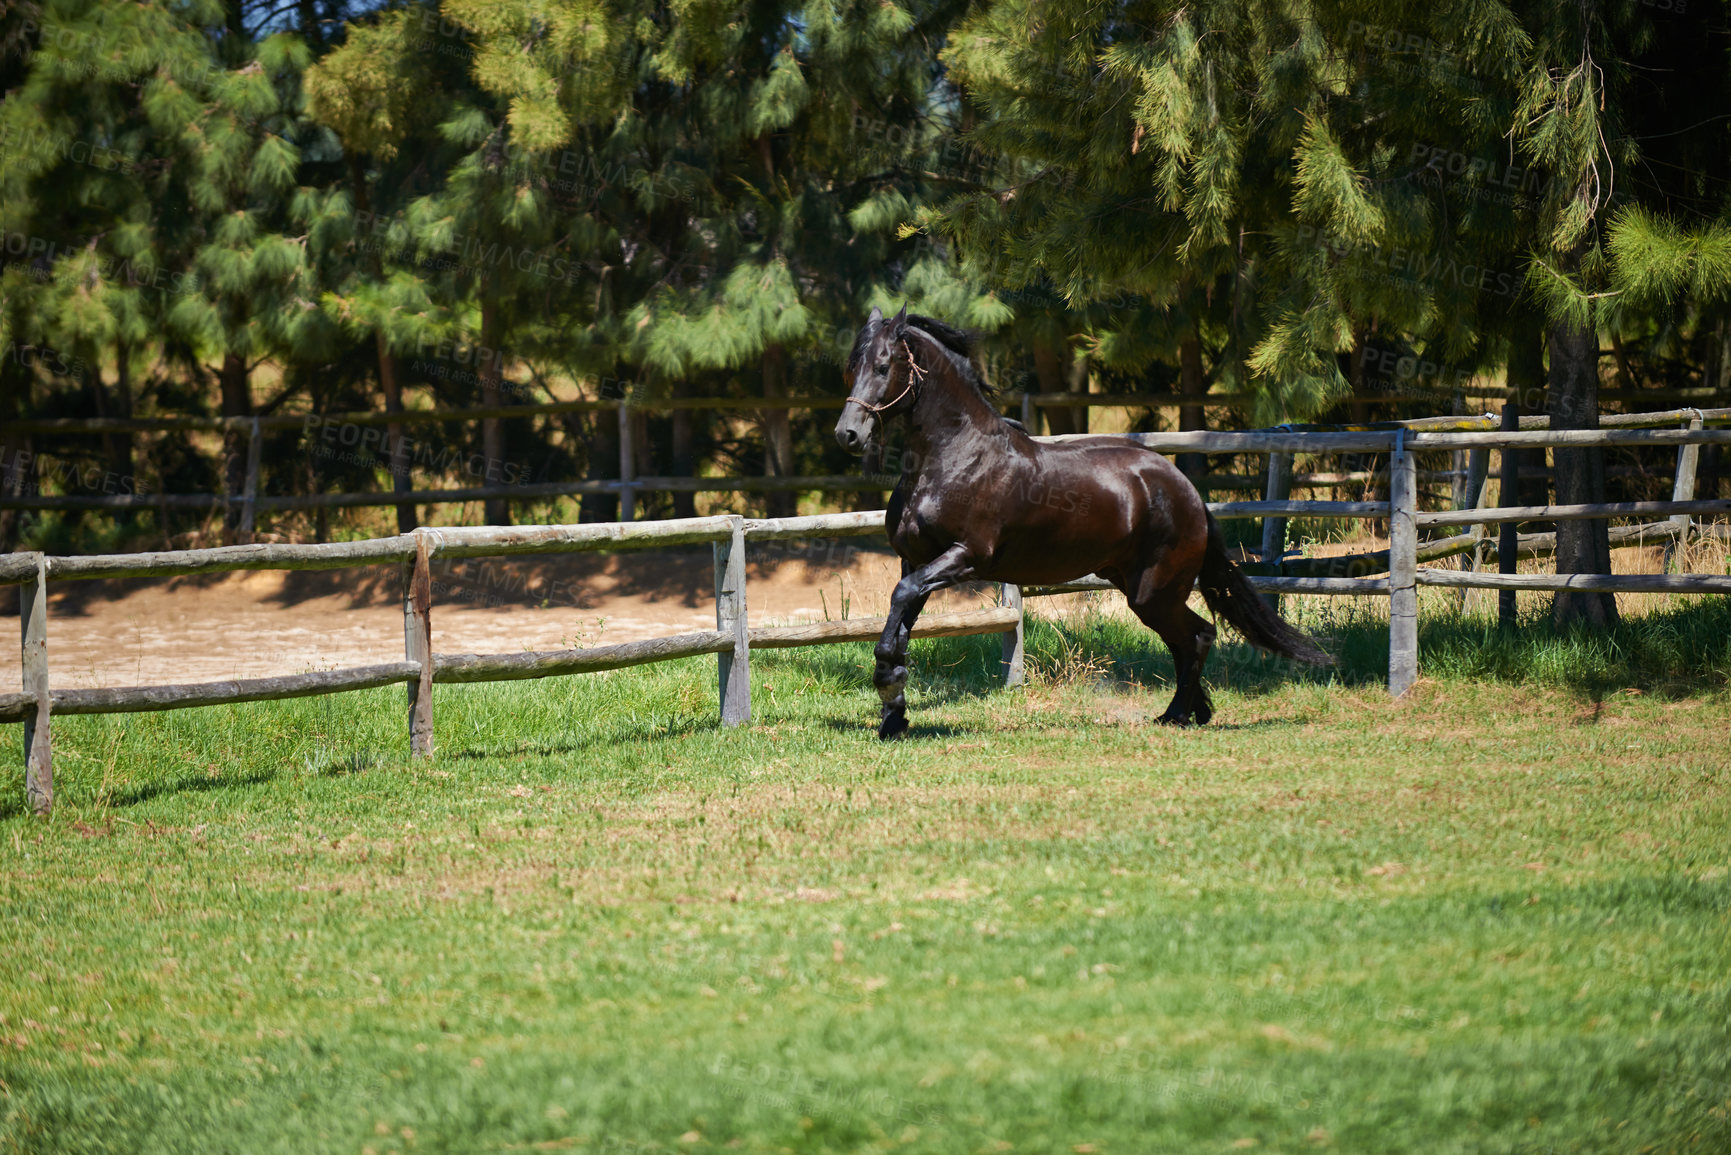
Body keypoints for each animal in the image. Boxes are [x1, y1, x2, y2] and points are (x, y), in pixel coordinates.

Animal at [830, 306, 1329, 741]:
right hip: (1141, 589)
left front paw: (889, 689)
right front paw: (894, 716)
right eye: (851, 367)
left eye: (883, 366)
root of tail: (1185, 489)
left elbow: (899, 606)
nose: (847, 435)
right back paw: (1191, 711)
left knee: (1198, 636)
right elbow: (901, 622)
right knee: (1189, 639)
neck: (954, 457)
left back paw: (1177, 715)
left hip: (1154, 591)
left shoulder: (963, 557)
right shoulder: (915, 561)